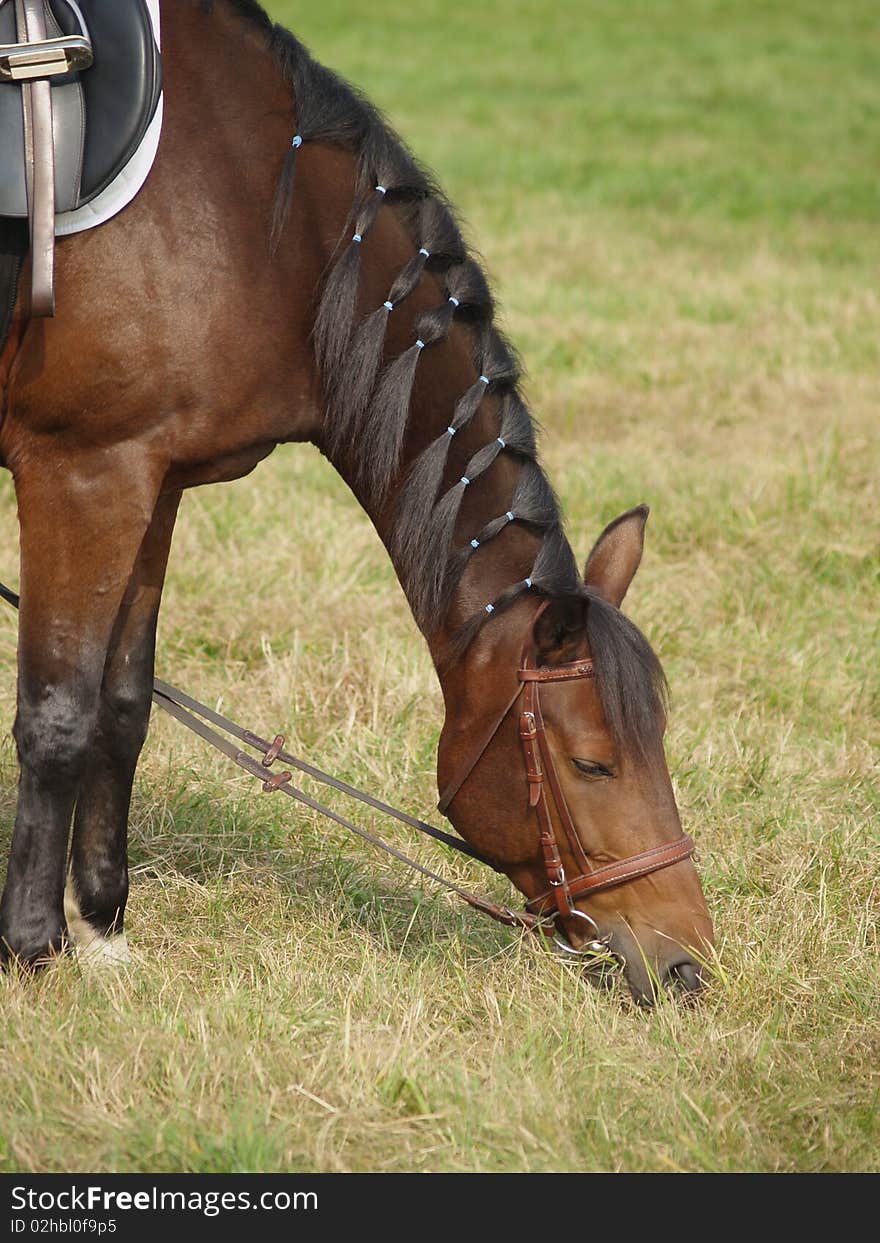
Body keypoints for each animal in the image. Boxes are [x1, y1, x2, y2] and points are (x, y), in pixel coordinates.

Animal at [0, 0, 710, 999]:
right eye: (592, 763)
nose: (688, 963)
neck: (262, 217)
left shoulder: (152, 477)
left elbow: (123, 702)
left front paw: (102, 922)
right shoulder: (83, 471)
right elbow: (58, 712)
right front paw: (35, 945)